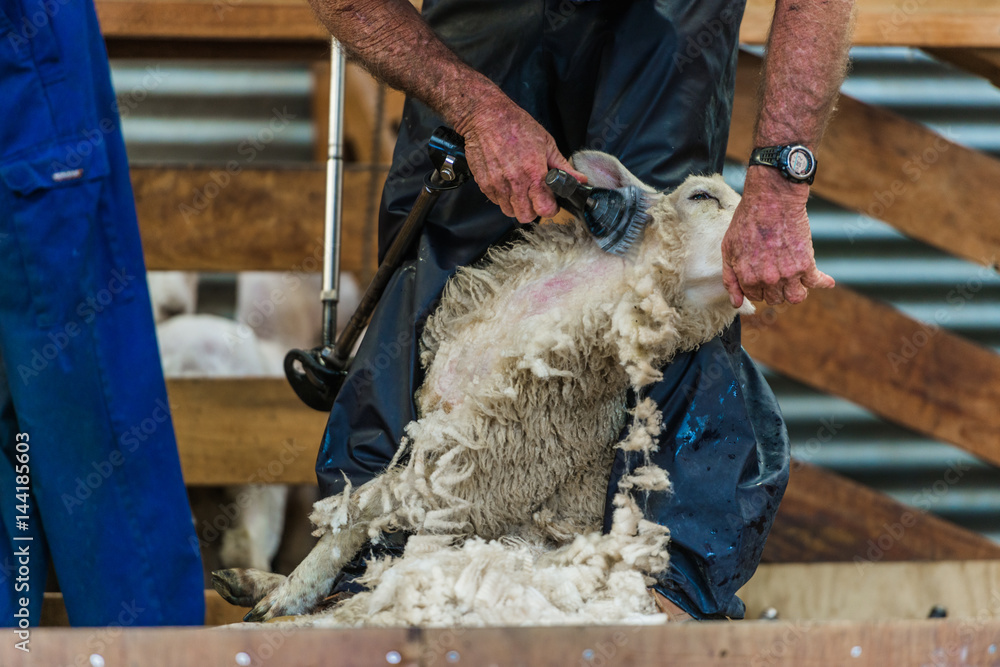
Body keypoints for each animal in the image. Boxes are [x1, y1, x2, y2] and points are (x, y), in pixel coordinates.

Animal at [215, 151, 752, 628]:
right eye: (702, 196)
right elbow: (361, 505)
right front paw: (282, 587)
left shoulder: (476, 479)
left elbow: (364, 508)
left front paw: (292, 593)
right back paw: (245, 580)